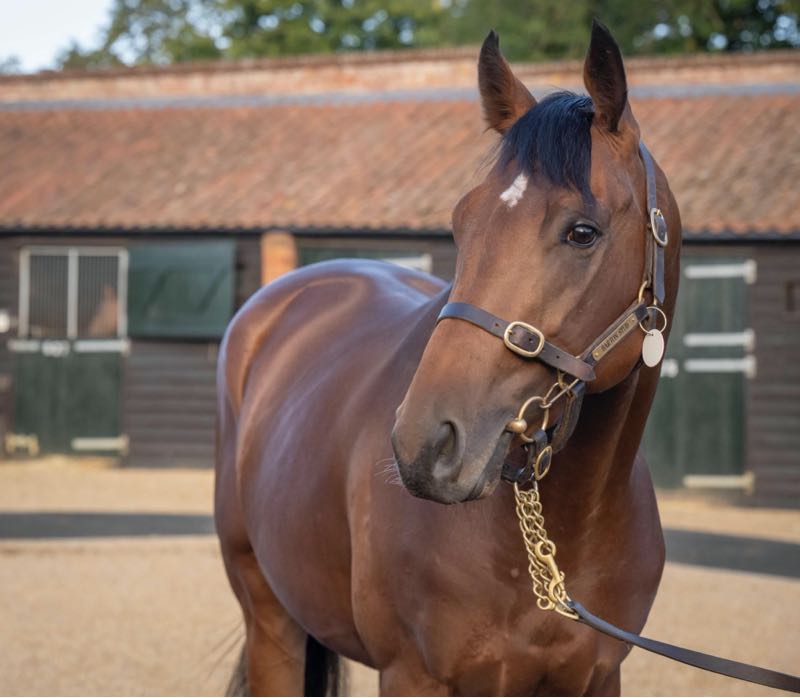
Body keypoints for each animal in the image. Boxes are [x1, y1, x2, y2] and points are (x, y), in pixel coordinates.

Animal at [215, 19, 681, 696]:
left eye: (583, 231)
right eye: (463, 223)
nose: (424, 446)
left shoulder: (598, 678)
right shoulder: (414, 675)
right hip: (269, 617)